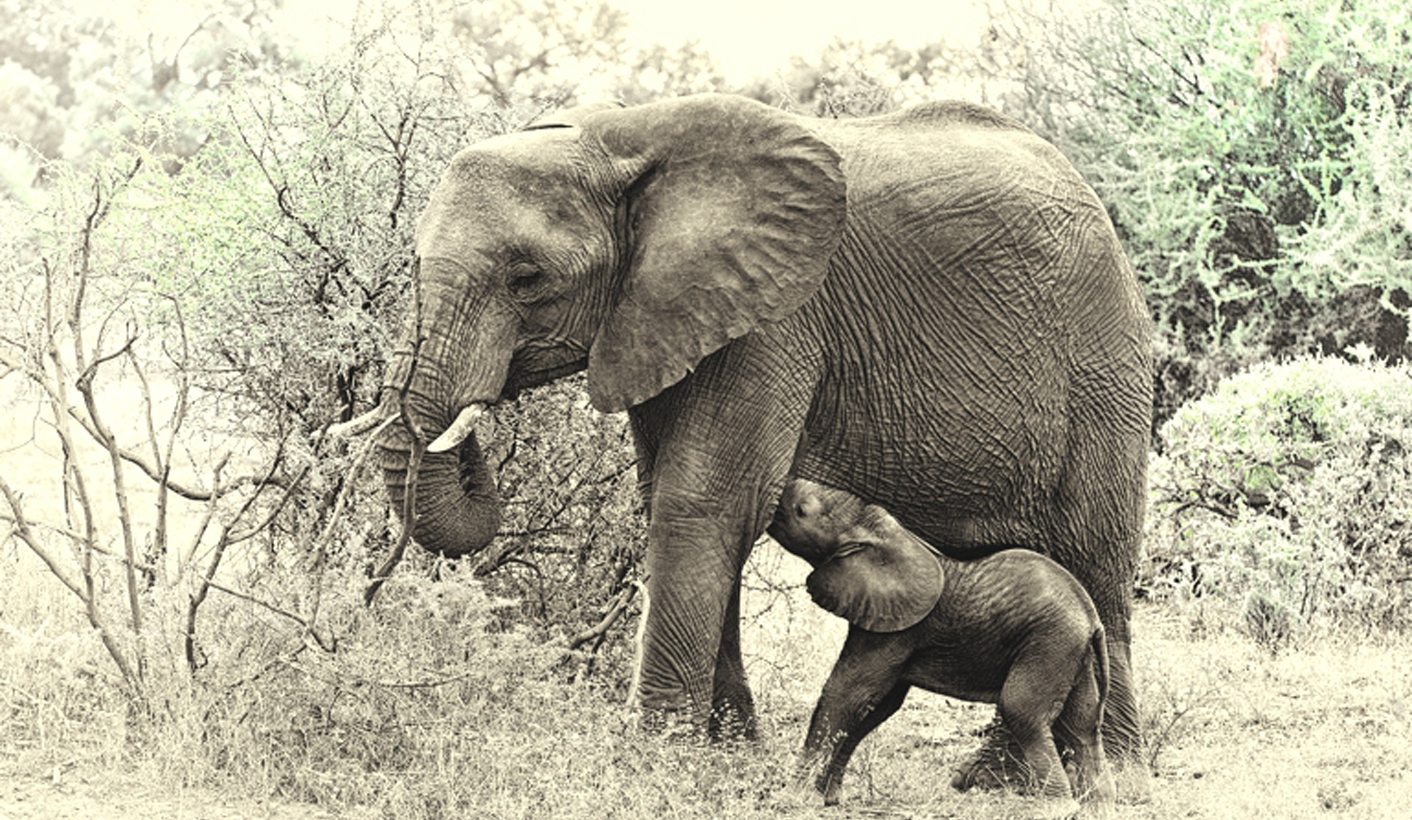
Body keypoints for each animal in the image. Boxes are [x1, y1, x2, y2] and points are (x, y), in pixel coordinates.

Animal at [774, 479, 1116, 813]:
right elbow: (878, 706)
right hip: (1071, 653)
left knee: (1022, 711)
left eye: (801, 511)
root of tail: (1091, 619)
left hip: (1048, 643)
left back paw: (1055, 809)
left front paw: (794, 799)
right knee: (1081, 726)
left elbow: (848, 693)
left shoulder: (898, 628)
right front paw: (827, 797)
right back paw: (1096, 808)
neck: (883, 533)